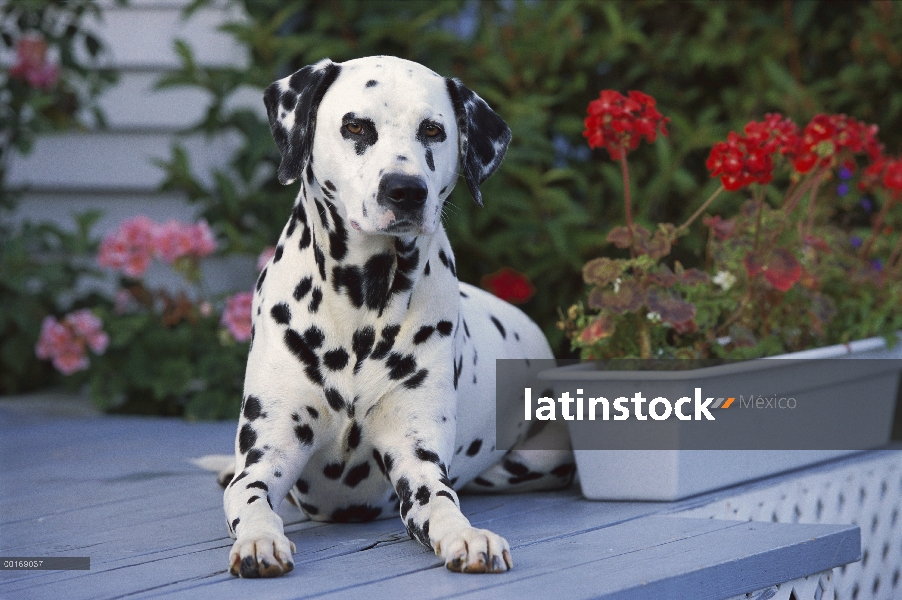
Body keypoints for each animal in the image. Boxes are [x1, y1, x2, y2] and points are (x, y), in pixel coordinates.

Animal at [221, 55, 572, 576]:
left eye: (433, 130)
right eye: (355, 126)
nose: (405, 190)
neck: (361, 306)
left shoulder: (416, 460)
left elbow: (442, 503)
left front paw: (467, 537)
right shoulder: (266, 457)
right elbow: (250, 499)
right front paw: (259, 541)